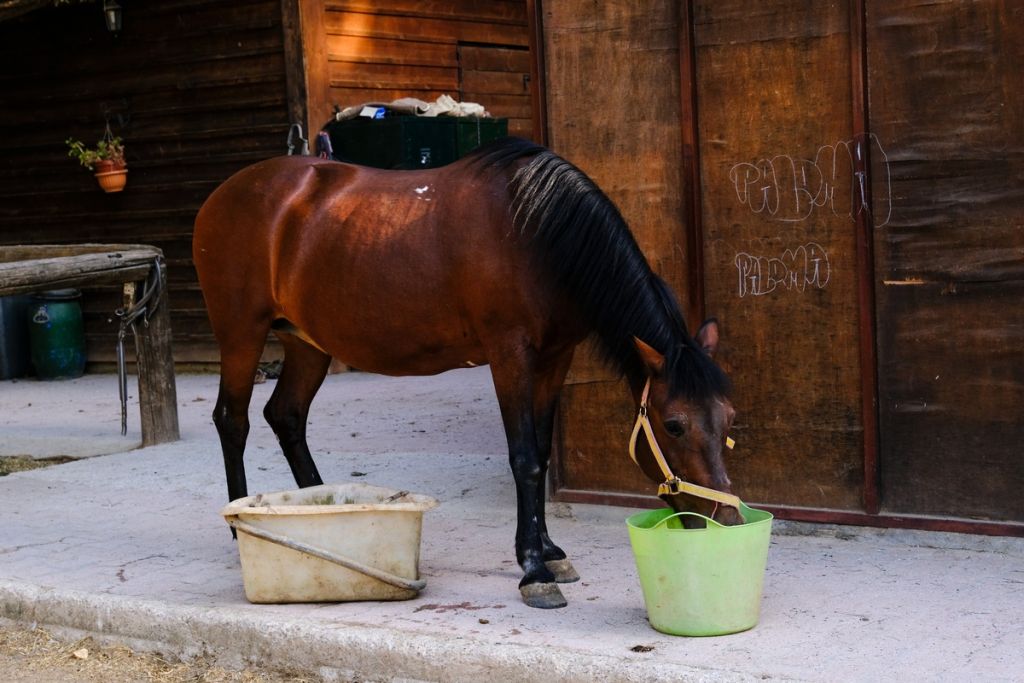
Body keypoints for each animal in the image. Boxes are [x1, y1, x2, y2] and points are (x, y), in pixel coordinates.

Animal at [193, 139, 737, 610]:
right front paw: (533, 570)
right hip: (241, 334)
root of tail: (225, 193)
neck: (538, 234)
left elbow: (541, 453)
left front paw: (549, 552)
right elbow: (524, 459)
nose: (727, 517)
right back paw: (239, 525)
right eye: (673, 425)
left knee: (286, 416)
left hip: (307, 343)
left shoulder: (555, 357)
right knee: (233, 420)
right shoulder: (509, 354)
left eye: (729, 418)